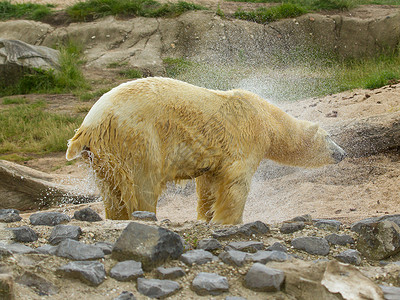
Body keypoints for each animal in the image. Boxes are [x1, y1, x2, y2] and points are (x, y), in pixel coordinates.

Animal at [67, 77, 346, 225]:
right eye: (330, 137)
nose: (342, 153)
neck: (267, 120)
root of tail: (89, 125)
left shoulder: (216, 156)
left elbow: (209, 186)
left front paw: (206, 216)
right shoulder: (245, 138)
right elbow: (235, 183)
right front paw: (230, 220)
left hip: (103, 156)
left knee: (112, 190)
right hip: (137, 138)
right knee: (142, 185)